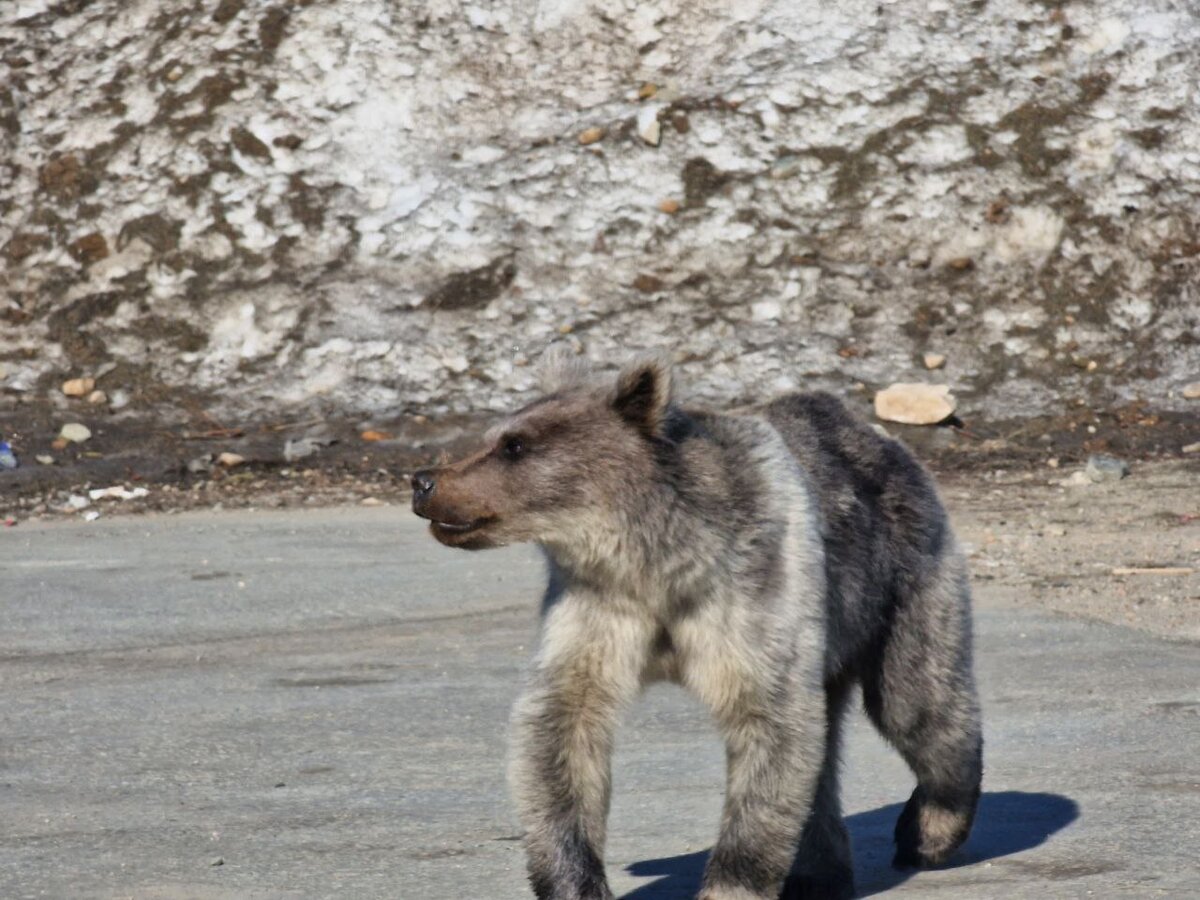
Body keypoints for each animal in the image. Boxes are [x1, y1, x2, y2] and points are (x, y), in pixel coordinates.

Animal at [412, 355, 984, 900]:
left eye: (515, 445)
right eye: (492, 435)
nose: (424, 481)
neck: (655, 561)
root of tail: (867, 427)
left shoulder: (752, 599)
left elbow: (768, 728)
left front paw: (730, 884)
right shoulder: (597, 612)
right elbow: (561, 730)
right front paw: (574, 880)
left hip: (898, 579)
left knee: (917, 703)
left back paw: (926, 831)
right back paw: (820, 876)